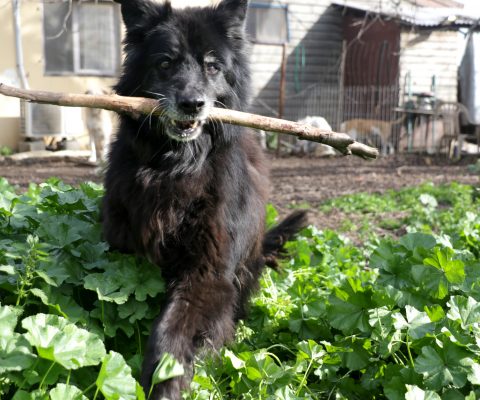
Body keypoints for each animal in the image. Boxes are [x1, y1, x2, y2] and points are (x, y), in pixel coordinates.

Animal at [104, 1, 308, 398]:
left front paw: (165, 383)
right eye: (165, 62)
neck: (177, 167)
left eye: (212, 65)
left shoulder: (209, 272)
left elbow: (173, 332)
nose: (192, 104)